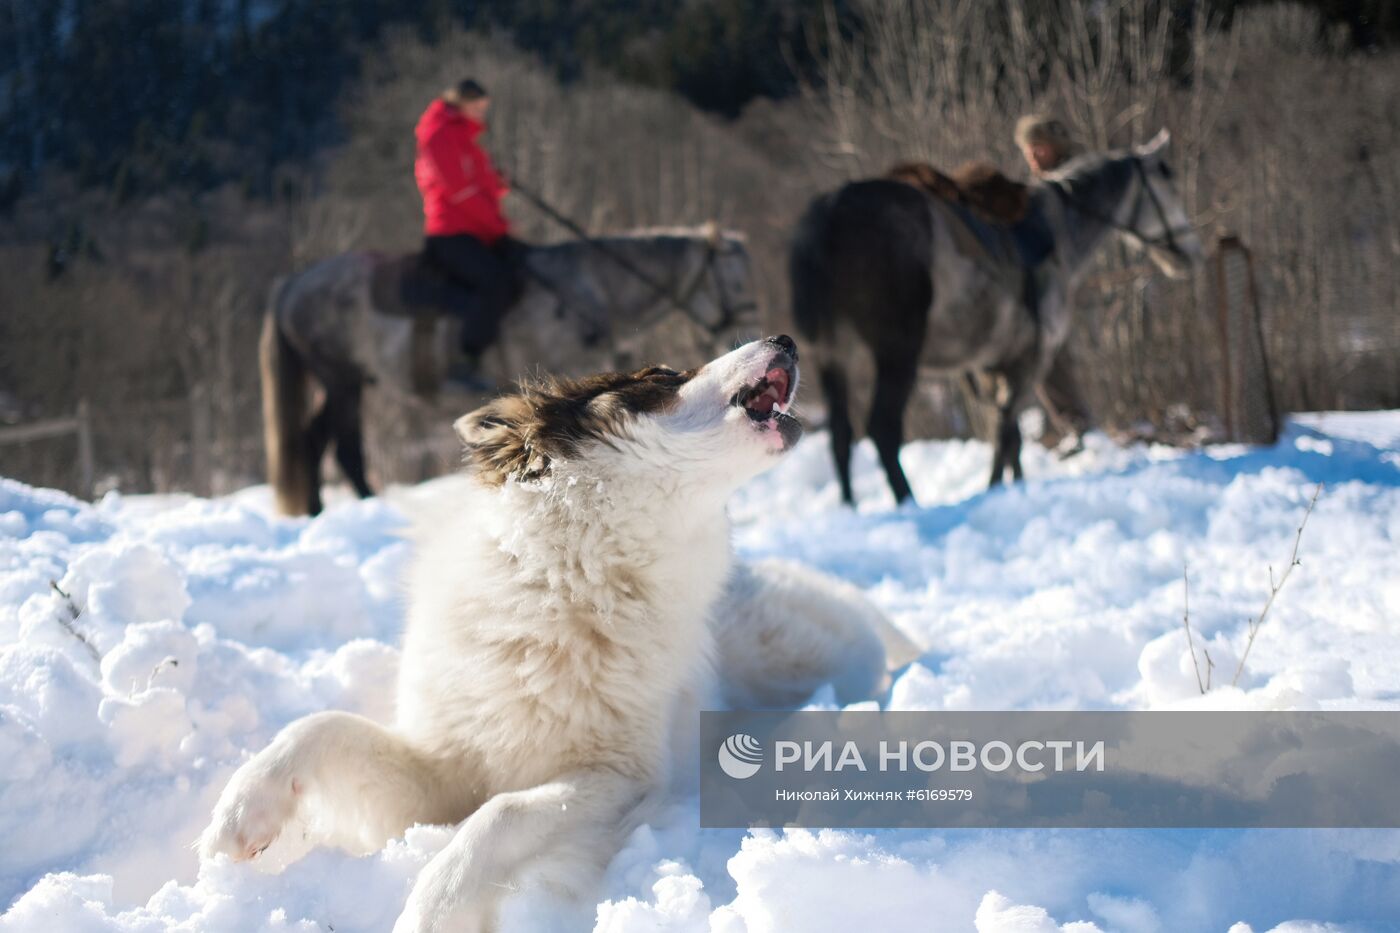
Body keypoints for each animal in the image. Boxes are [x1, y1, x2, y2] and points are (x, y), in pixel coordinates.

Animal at [203, 336, 912, 930]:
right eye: (662, 376)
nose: (786, 339)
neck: (567, 585)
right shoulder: (437, 773)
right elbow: (319, 726)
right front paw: (241, 812)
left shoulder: (618, 779)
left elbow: (500, 814)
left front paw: (434, 908)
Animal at [257, 225, 761, 515]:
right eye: (734, 280)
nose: (745, 332)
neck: (583, 287)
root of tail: (292, 285)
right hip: (340, 378)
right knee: (341, 447)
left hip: (344, 381)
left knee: (316, 440)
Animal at [789, 128, 1204, 501]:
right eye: (1168, 179)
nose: (1190, 252)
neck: (1053, 232)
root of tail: (831, 211)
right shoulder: (1029, 362)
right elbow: (1005, 434)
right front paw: (994, 489)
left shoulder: (991, 368)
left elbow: (1008, 436)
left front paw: (1012, 486)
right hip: (897, 353)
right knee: (883, 430)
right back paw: (909, 504)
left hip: (831, 354)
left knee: (841, 436)